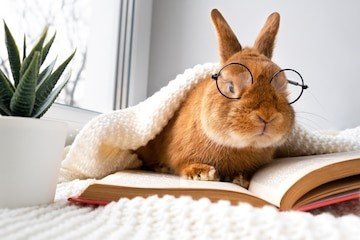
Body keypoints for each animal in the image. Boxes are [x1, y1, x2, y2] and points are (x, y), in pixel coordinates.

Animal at [135, 9, 296, 188]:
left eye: (282, 86)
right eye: (231, 87)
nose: (267, 115)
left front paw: (241, 179)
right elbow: (183, 164)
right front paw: (203, 173)